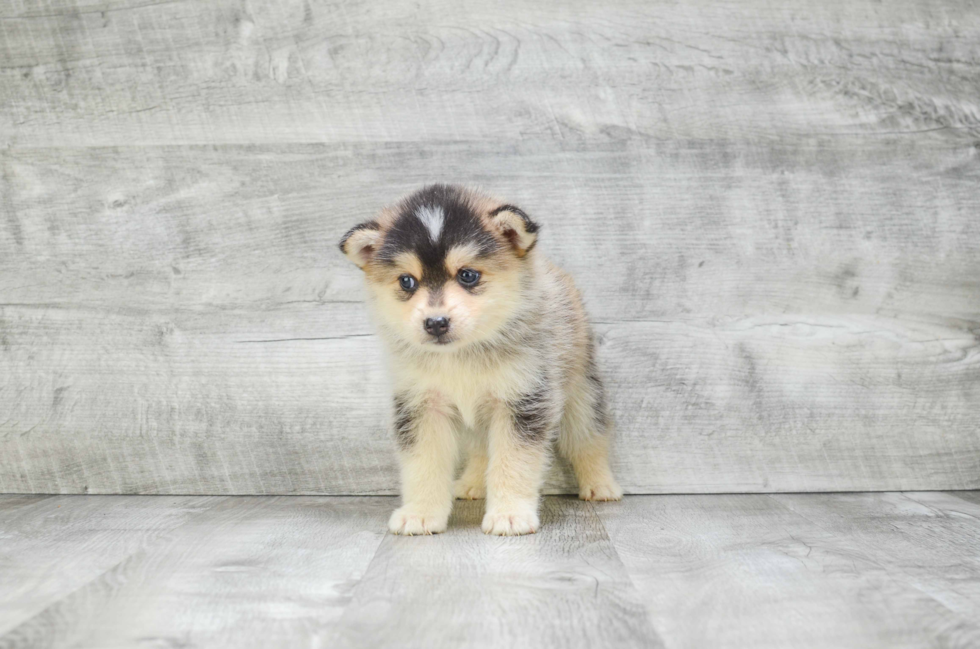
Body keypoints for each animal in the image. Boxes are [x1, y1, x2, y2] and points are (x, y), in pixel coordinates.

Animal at [342, 184, 620, 536]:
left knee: (588, 441)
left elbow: (513, 462)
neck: (461, 355)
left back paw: (601, 485)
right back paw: (473, 484)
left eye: (468, 275)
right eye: (407, 281)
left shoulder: (523, 401)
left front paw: (510, 515)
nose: (435, 323)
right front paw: (420, 513)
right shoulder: (421, 405)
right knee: (480, 451)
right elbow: (423, 464)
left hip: (581, 397)